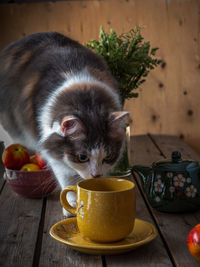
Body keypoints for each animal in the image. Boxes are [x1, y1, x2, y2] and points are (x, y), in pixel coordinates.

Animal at [0, 31, 128, 209]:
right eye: (82, 157)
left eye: (108, 157)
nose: (96, 175)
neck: (86, 101)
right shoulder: (54, 153)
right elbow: (67, 179)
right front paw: (72, 203)